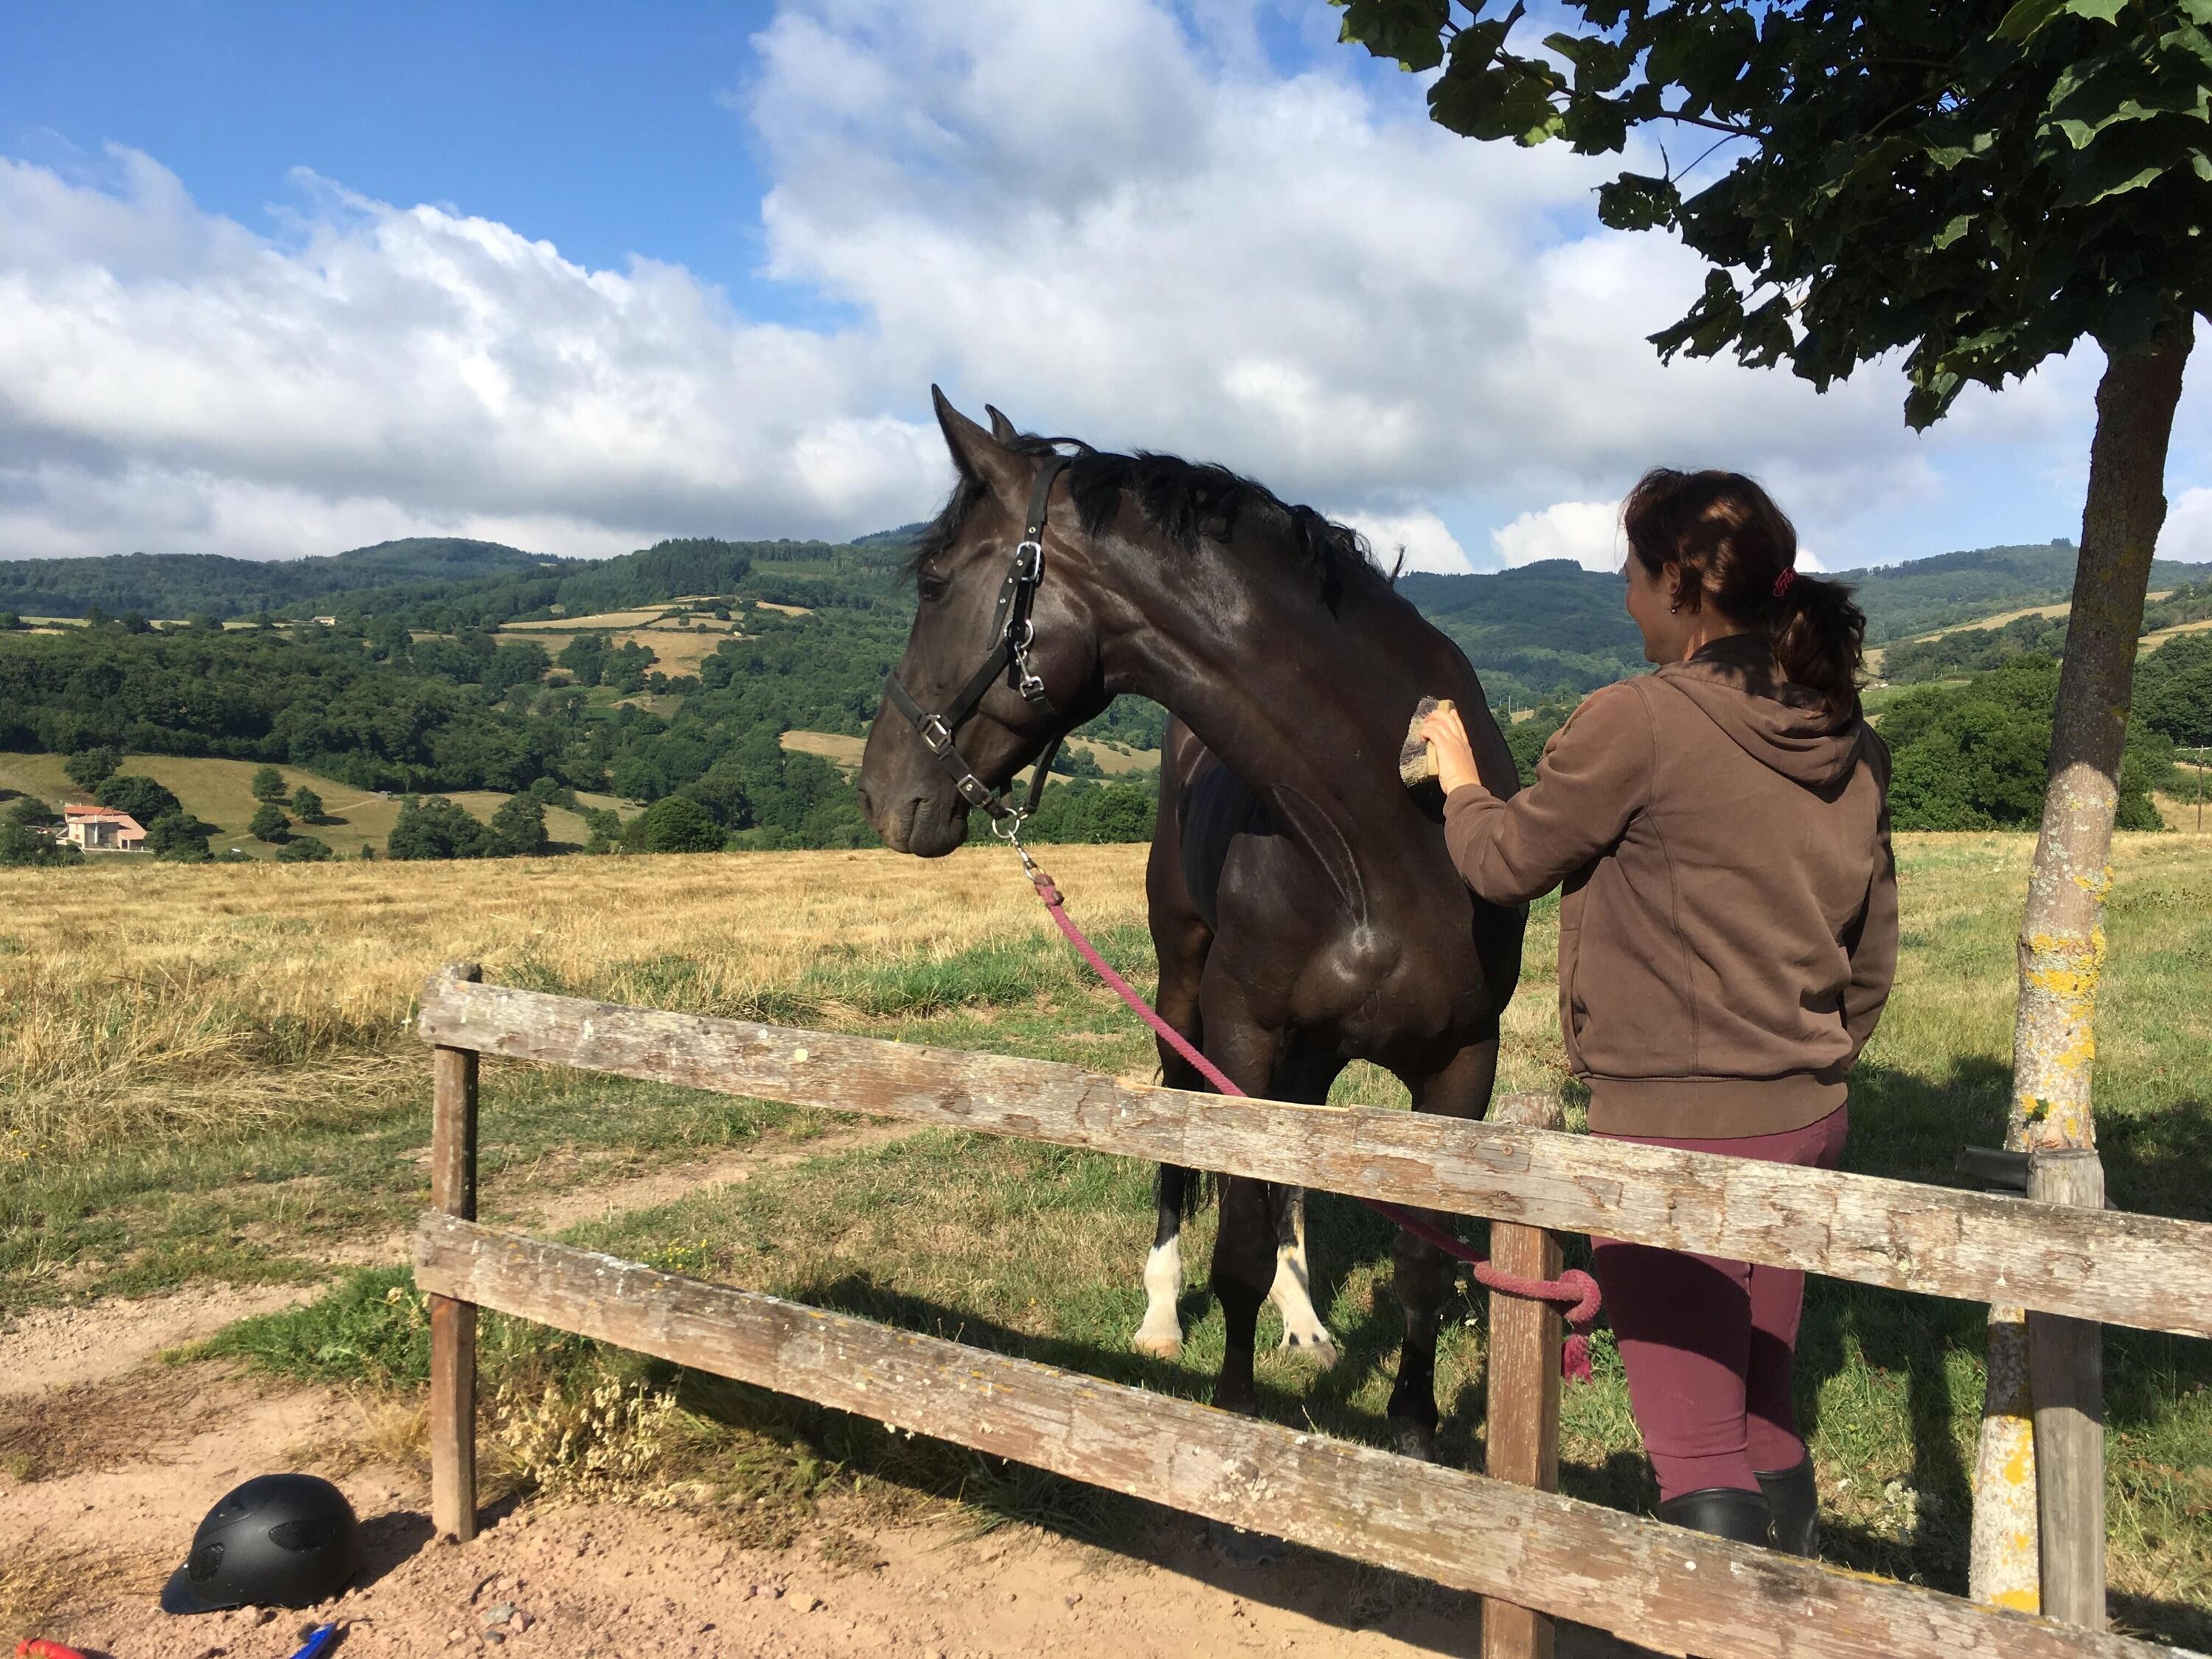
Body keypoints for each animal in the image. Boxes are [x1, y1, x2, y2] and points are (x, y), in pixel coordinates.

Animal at [855, 390, 1527, 1458]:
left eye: (933, 582)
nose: (880, 791)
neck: (1386, 836)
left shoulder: (1463, 1062)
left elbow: (1419, 1262)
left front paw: (1417, 1434)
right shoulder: (1242, 1034)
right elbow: (1236, 1247)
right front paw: (1237, 1417)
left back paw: (1306, 1319)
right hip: (1183, 995)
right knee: (1181, 1145)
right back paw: (1164, 1315)